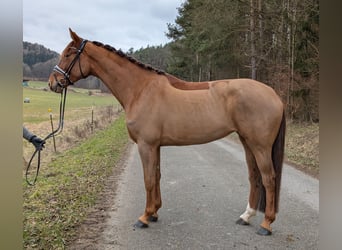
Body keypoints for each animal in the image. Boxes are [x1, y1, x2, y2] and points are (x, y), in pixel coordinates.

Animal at [48, 28, 286, 235]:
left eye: (68, 53)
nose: (53, 83)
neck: (140, 89)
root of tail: (274, 94)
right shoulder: (156, 146)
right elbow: (157, 175)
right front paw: (154, 213)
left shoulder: (146, 145)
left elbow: (148, 179)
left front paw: (144, 217)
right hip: (247, 142)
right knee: (254, 177)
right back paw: (246, 216)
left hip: (260, 146)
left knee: (269, 178)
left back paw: (266, 224)